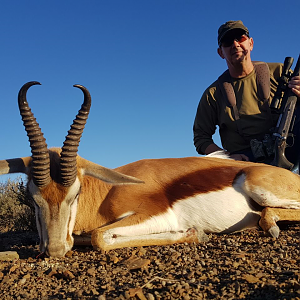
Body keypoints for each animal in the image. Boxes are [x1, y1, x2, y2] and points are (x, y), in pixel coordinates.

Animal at [0, 82, 300, 258]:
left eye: (75, 194)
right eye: (32, 198)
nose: (55, 250)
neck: (108, 192)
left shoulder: (155, 214)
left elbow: (99, 236)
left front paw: (194, 233)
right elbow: (88, 237)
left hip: (259, 188)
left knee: (269, 213)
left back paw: (269, 225)